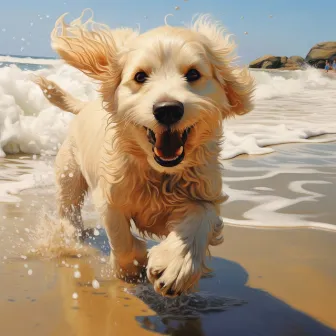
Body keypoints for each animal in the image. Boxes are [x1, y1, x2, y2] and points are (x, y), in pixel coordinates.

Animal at [34, 9, 255, 296]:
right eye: (140, 76)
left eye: (193, 74)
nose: (168, 109)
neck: (158, 172)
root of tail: (84, 106)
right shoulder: (110, 196)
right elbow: (120, 235)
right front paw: (131, 266)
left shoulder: (205, 193)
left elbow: (200, 219)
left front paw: (175, 267)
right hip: (68, 174)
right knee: (68, 207)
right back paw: (72, 235)